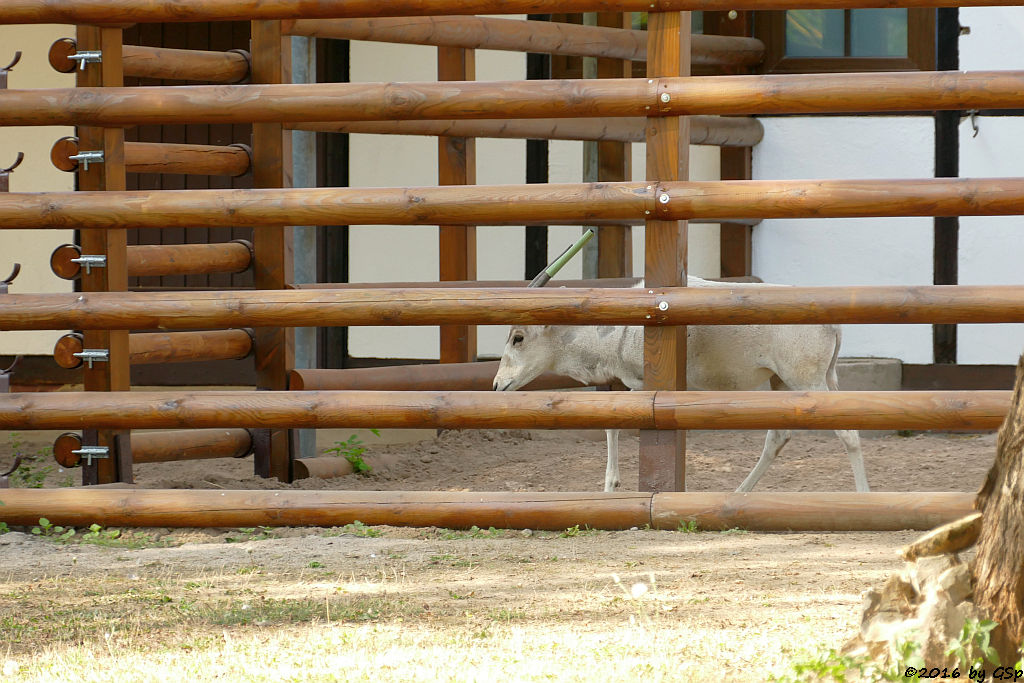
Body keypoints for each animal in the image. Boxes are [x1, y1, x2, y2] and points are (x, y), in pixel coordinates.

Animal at [491, 274, 868, 493]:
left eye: (518, 337)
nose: (497, 385)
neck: (619, 329)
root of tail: (834, 325)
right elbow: (612, 422)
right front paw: (611, 485)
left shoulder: (643, 383)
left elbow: (614, 423)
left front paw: (611, 485)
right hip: (787, 381)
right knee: (779, 436)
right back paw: (737, 495)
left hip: (806, 378)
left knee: (847, 432)